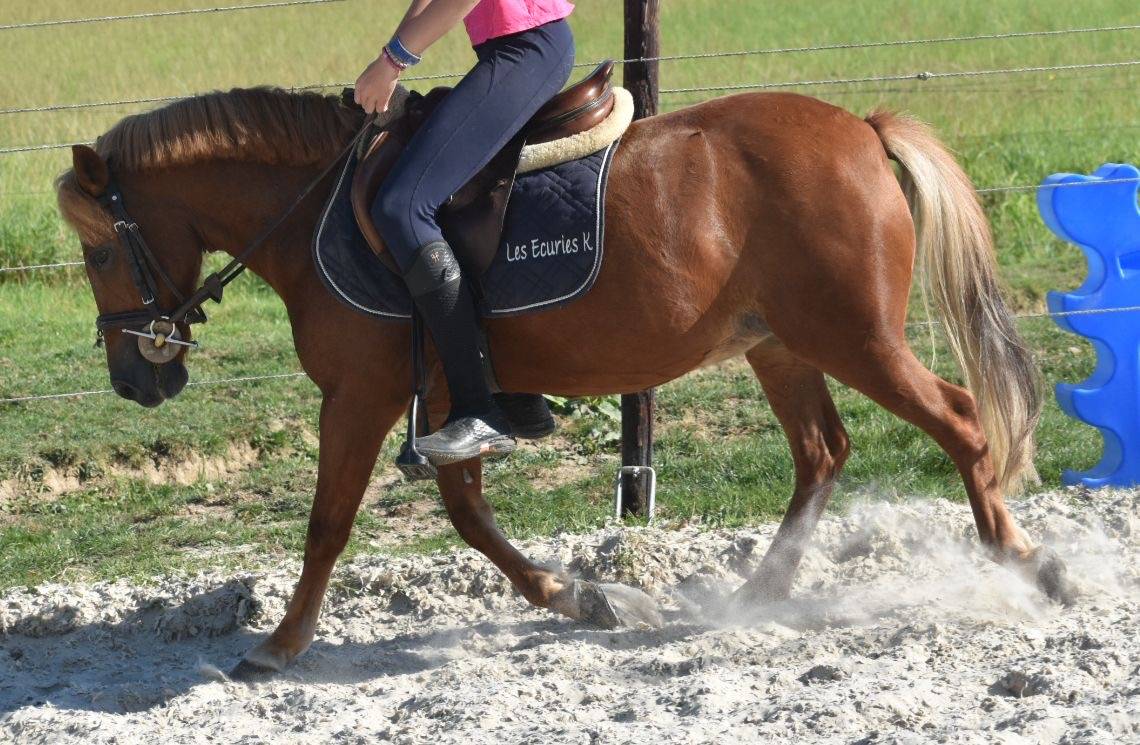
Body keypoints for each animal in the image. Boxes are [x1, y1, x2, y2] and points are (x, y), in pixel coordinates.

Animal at [56, 85, 1073, 679]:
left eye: (99, 251)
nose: (132, 379)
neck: (317, 214)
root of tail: (857, 128)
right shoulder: (448, 402)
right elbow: (469, 513)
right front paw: (586, 597)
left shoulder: (359, 396)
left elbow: (328, 522)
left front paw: (278, 645)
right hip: (779, 344)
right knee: (824, 451)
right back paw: (758, 594)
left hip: (853, 337)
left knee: (961, 421)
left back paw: (1026, 560)